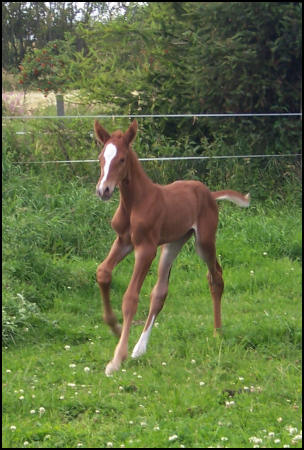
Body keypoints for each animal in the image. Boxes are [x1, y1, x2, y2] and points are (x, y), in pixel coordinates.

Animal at [95, 120, 249, 376]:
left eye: (122, 159)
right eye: (100, 158)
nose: (103, 190)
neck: (135, 201)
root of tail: (209, 193)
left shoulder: (146, 248)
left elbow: (130, 298)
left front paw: (116, 359)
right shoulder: (123, 241)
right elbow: (103, 273)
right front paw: (115, 328)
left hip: (204, 241)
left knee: (215, 276)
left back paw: (217, 332)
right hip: (172, 245)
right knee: (160, 292)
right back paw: (140, 349)